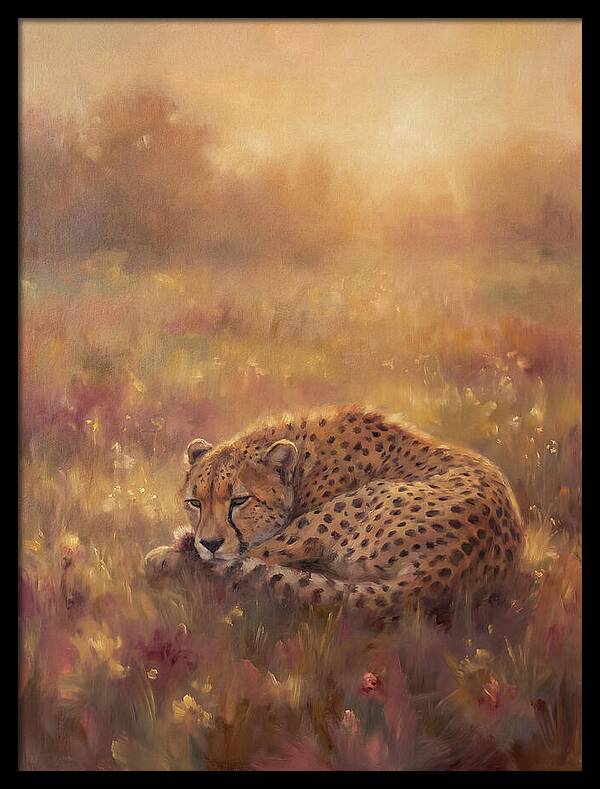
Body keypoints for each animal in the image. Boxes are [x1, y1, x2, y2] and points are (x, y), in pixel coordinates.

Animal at [144, 406, 523, 623]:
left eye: (239, 501)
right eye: (195, 503)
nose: (209, 542)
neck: (303, 463)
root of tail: (445, 572)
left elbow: (246, 555)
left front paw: (173, 552)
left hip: (336, 513)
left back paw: (166, 557)